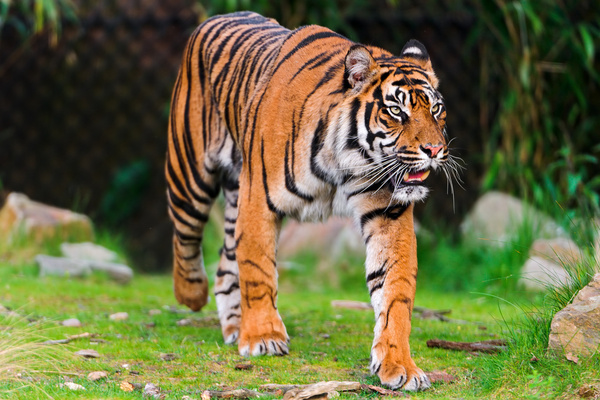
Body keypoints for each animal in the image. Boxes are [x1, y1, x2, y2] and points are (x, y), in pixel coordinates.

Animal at [164, 11, 460, 390]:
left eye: (437, 109)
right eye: (396, 111)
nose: (435, 150)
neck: (346, 162)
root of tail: (217, 17)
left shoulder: (388, 212)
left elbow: (396, 291)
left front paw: (399, 365)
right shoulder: (258, 199)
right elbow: (258, 269)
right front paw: (263, 337)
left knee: (226, 262)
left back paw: (234, 325)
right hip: (190, 174)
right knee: (185, 238)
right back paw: (193, 294)